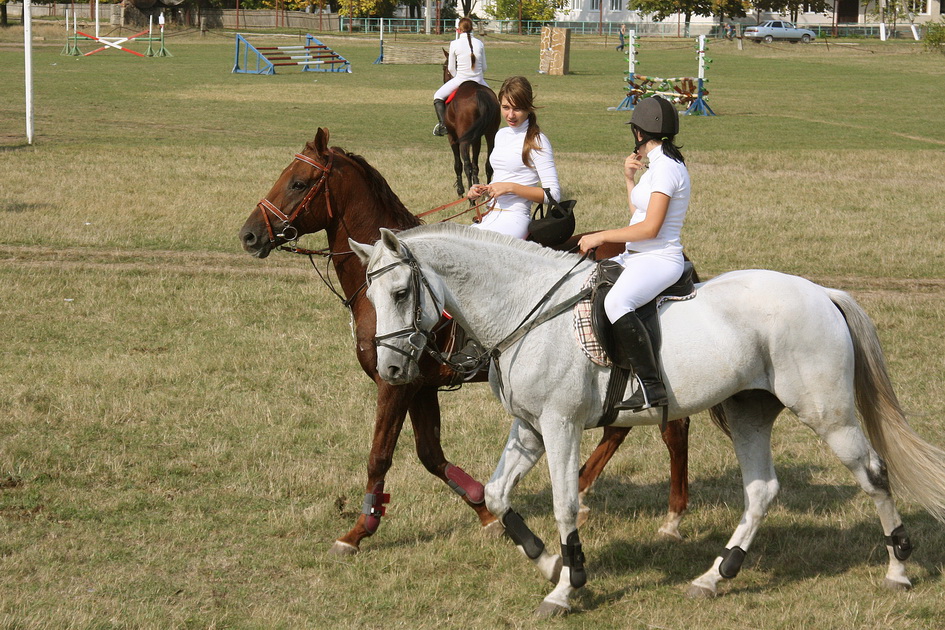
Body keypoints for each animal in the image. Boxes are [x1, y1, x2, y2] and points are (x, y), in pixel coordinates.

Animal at [240, 127, 688, 552]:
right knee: (621, 427)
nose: (249, 235)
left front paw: (357, 532)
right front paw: (485, 511)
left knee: (671, 427)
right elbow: (430, 455)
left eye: (299, 183)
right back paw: (584, 491)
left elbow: (379, 456)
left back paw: (670, 517)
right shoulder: (419, 386)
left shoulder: (394, 383)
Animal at [350, 225, 944, 620]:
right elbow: (496, 496)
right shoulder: (530, 428)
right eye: (369, 295)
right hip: (749, 412)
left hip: (828, 414)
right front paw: (550, 564)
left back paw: (898, 570)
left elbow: (565, 504)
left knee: (873, 473)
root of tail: (821, 292)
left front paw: (567, 587)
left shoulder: (561, 426)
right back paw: (714, 576)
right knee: (761, 489)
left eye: (400, 293)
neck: (526, 311)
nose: (392, 370)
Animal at [442, 52, 502, 200]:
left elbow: (458, 164)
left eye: (444, 66)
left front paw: (461, 190)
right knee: (488, 164)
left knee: (466, 165)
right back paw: (487, 195)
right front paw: (477, 186)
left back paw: (471, 200)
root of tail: (479, 93)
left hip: (464, 139)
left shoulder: (452, 137)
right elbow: (476, 165)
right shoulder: (476, 139)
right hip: (491, 134)